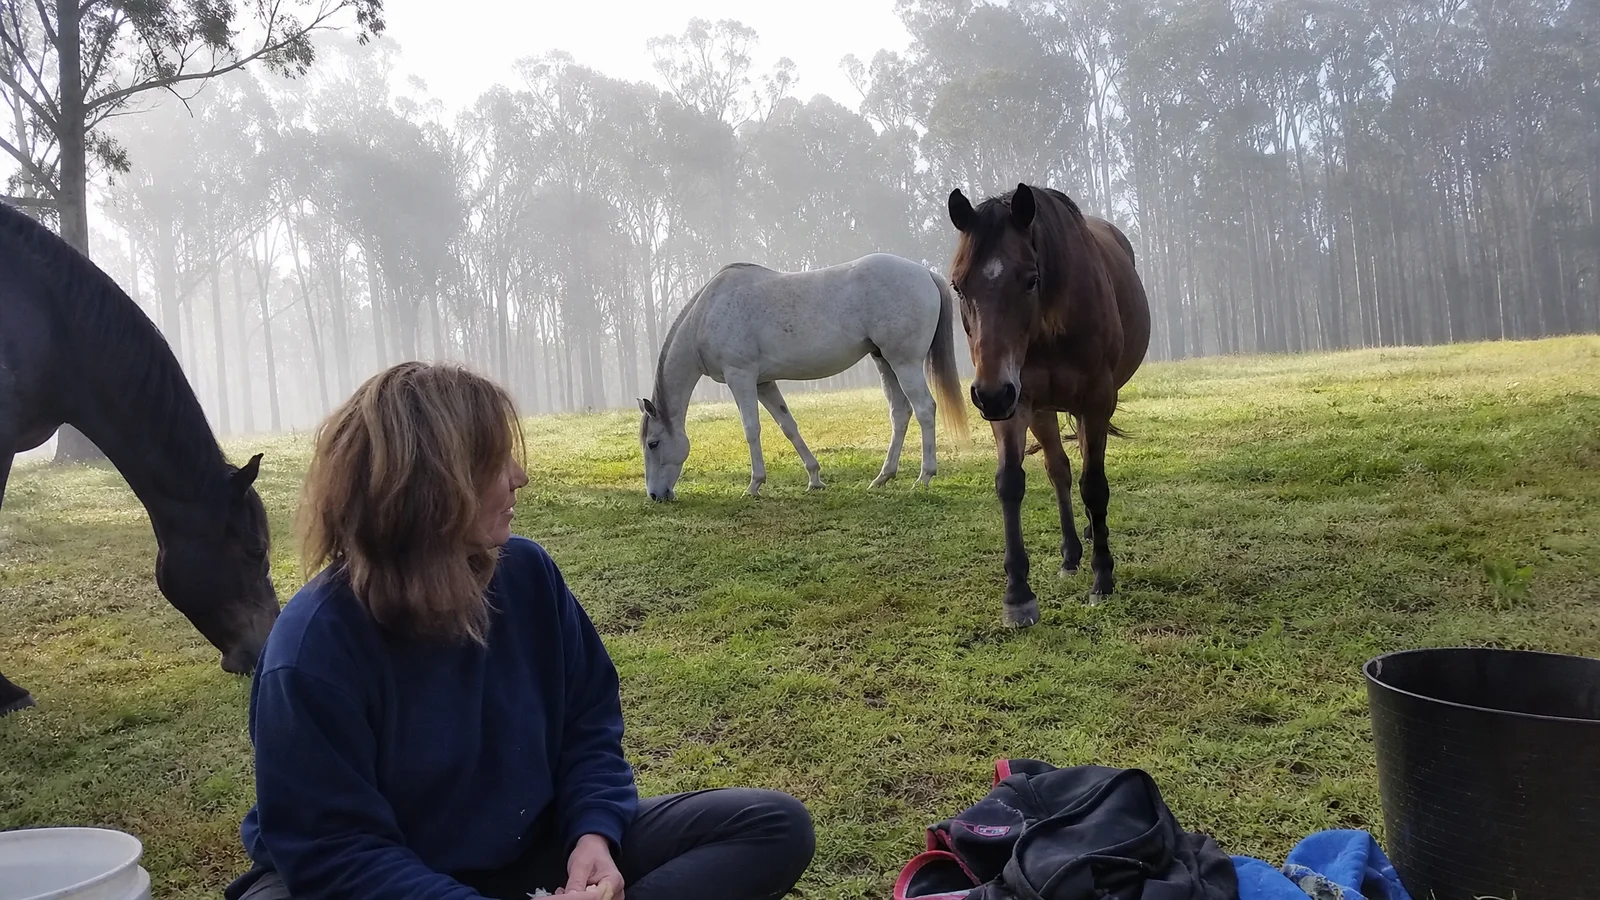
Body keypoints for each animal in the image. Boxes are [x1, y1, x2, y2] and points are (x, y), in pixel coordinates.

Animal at [639, 252, 969, 500]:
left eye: (653, 443)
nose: (655, 495)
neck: (706, 314)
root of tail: (925, 273)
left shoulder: (740, 377)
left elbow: (751, 429)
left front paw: (754, 485)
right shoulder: (763, 383)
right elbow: (788, 426)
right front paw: (814, 478)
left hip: (905, 362)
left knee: (925, 409)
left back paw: (924, 477)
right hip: (884, 362)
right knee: (900, 414)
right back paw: (882, 477)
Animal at [946, 184, 1150, 628]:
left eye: (1031, 280)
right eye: (958, 286)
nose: (989, 394)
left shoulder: (1096, 400)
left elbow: (1095, 486)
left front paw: (1103, 578)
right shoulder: (1017, 401)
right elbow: (1011, 483)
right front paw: (1018, 596)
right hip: (1039, 408)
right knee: (1059, 470)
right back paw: (1072, 554)